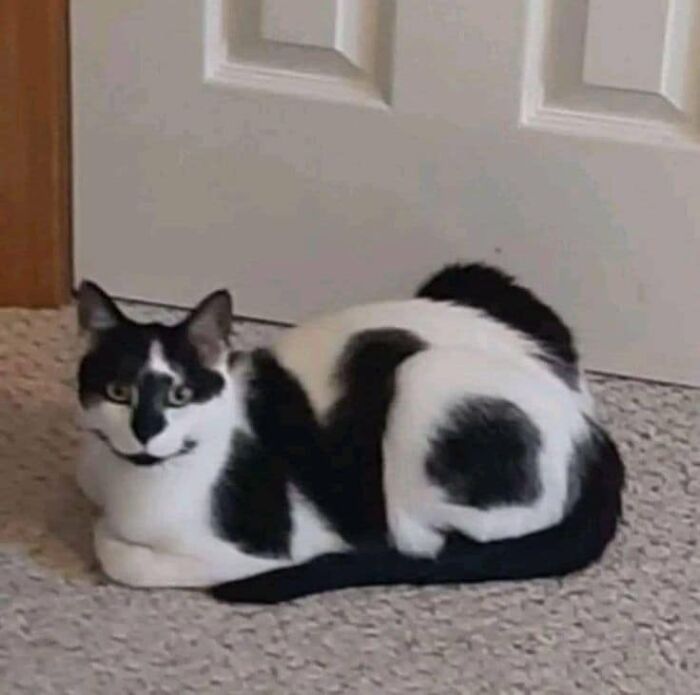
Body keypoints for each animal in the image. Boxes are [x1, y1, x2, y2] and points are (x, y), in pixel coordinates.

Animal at [75, 266, 624, 604]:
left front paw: (112, 538)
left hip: (423, 378)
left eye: (180, 394)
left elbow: (117, 554)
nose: (145, 431)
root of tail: (592, 430)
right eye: (119, 392)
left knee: (420, 541)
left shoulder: (266, 545)